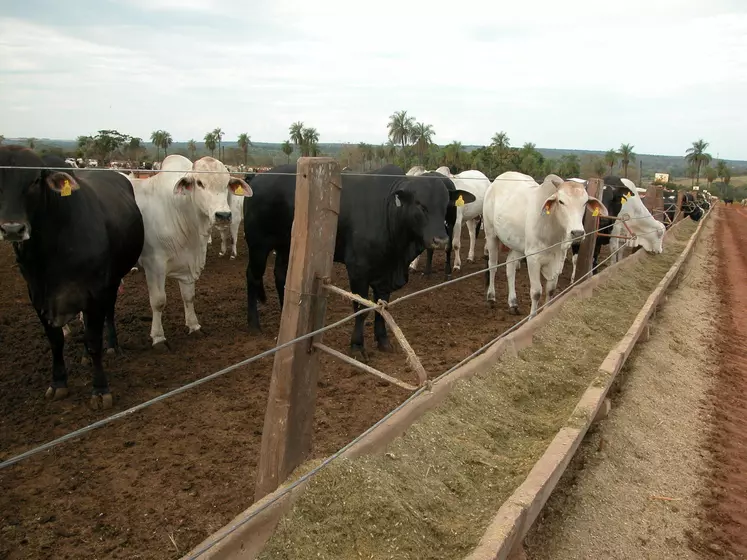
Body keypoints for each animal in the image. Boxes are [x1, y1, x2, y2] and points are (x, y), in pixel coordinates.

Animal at [0, 147, 145, 410]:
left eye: (35, 180)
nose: (13, 229)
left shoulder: (96, 291)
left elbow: (95, 340)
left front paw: (100, 390)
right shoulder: (37, 295)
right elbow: (56, 340)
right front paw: (58, 383)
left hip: (112, 280)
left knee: (108, 314)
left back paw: (113, 346)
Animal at [129, 153, 254, 346]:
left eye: (226, 183)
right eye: (200, 183)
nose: (223, 215)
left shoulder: (189, 261)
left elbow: (189, 296)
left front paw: (194, 326)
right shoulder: (154, 264)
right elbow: (158, 301)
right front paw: (158, 337)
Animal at [247, 164, 480, 360]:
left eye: (445, 204)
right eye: (420, 205)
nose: (440, 239)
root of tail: (258, 178)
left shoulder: (385, 274)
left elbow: (381, 305)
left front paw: (383, 340)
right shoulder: (358, 270)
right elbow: (361, 308)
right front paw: (357, 346)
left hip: (285, 246)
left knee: (281, 275)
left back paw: (284, 318)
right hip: (258, 244)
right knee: (253, 276)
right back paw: (254, 324)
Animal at [486, 171, 608, 320]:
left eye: (585, 202)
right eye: (561, 201)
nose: (577, 233)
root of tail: (498, 179)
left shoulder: (557, 260)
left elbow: (550, 290)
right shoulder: (533, 259)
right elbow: (536, 292)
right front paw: (532, 319)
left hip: (518, 245)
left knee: (510, 266)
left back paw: (513, 303)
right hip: (491, 234)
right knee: (492, 265)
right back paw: (491, 297)